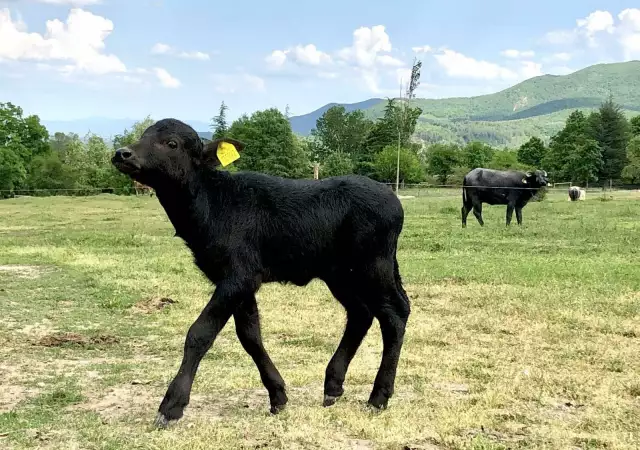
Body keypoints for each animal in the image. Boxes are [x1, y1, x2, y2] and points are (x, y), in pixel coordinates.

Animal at [110, 118, 410, 428]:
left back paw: (378, 397)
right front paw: (277, 395)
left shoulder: (238, 277)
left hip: (374, 266)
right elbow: (250, 336)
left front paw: (171, 406)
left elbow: (200, 332)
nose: (122, 153)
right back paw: (333, 386)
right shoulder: (238, 282)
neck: (215, 203)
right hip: (340, 274)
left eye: (172, 143)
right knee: (361, 313)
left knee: (395, 314)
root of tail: (392, 199)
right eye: (143, 134)